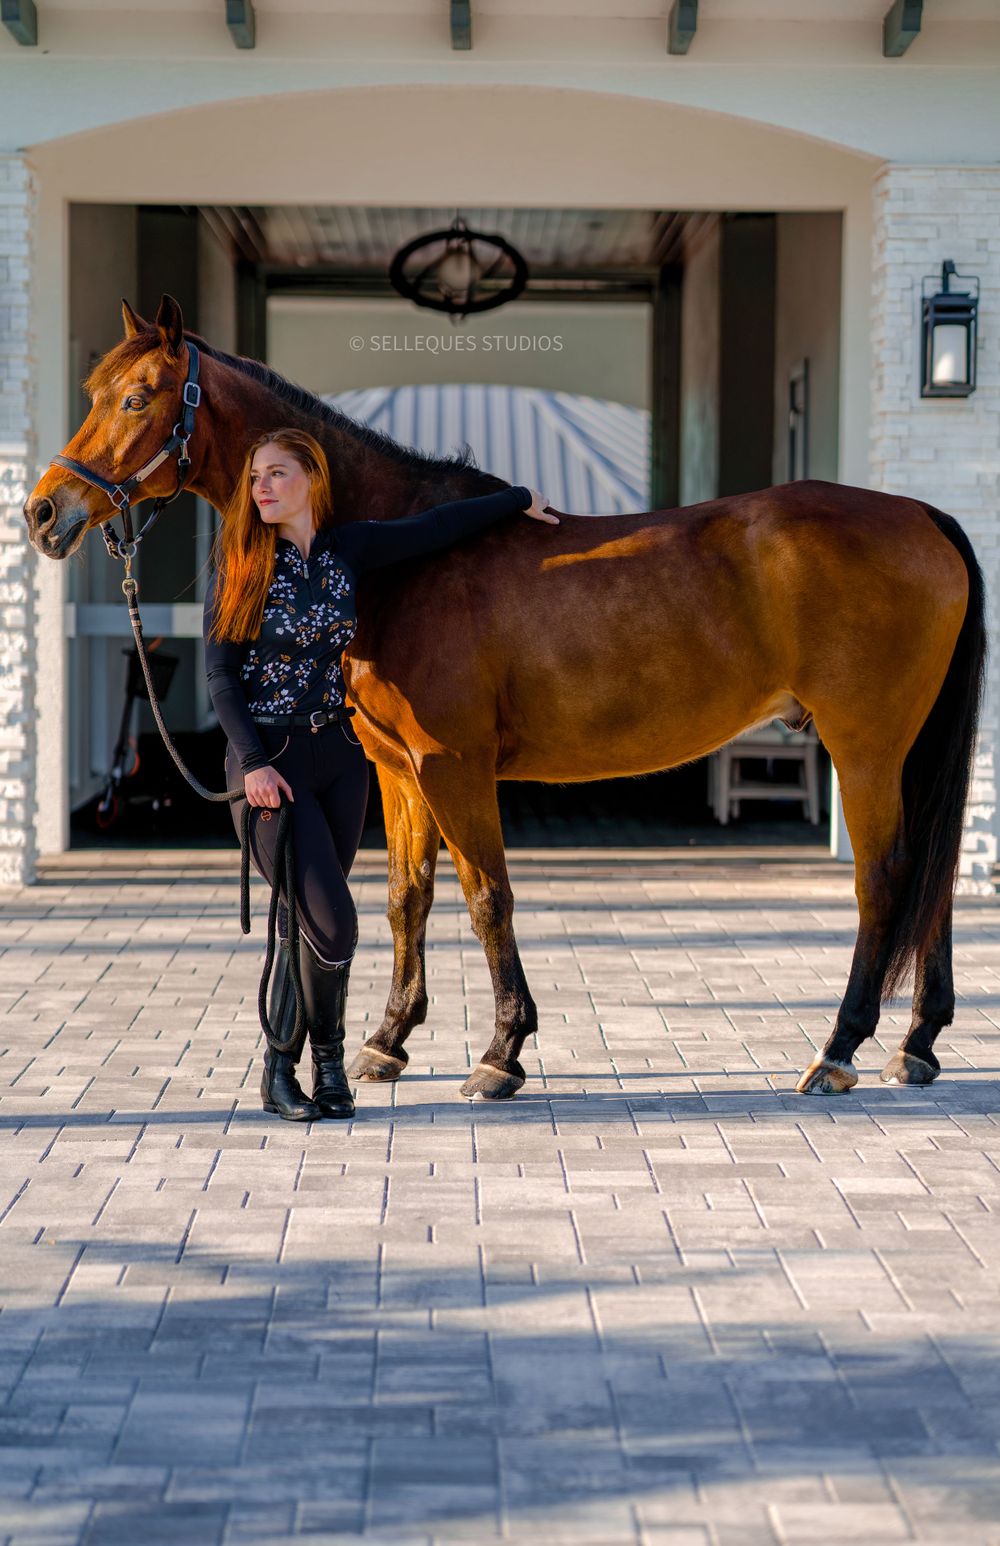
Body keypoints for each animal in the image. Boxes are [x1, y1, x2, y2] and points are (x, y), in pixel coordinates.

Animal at [24, 294, 986, 1101]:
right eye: (96, 389)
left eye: (140, 397)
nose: (43, 512)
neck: (396, 556)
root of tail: (922, 516)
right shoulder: (397, 769)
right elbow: (406, 898)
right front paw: (387, 1041)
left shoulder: (453, 765)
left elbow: (488, 896)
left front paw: (500, 1052)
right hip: (906, 750)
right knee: (932, 882)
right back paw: (917, 1045)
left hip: (865, 747)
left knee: (885, 878)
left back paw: (839, 1050)